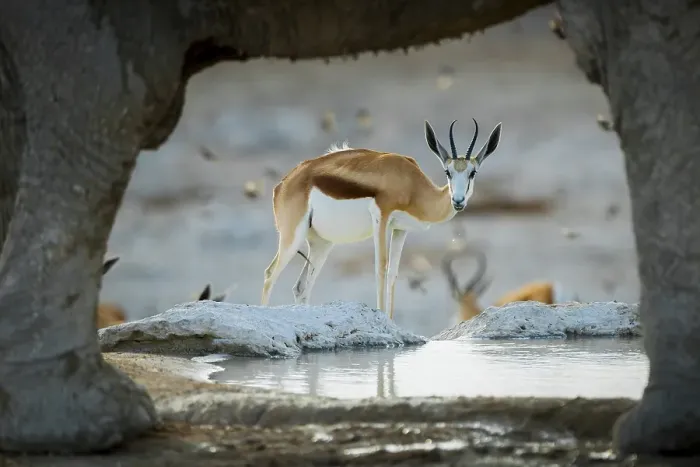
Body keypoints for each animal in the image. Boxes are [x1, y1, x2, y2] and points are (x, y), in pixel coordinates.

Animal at [1, 0, 699, 458]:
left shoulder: (402, 233)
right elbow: (383, 274)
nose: (462, 201)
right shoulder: (385, 217)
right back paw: (264, 337)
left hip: (321, 249)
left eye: (476, 168)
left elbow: (391, 279)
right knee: (268, 274)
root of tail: (287, 179)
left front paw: (392, 340)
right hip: (291, 240)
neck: (415, 183)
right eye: (448, 166)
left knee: (303, 289)